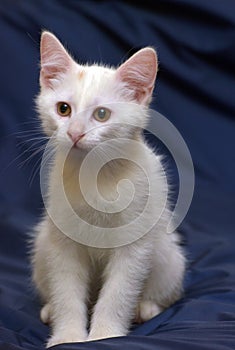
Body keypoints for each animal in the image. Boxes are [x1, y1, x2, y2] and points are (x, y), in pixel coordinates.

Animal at [31, 32, 185, 348]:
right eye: (63, 109)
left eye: (102, 114)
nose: (75, 133)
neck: (95, 176)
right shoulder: (63, 241)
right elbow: (66, 291)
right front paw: (67, 336)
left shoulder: (134, 245)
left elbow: (118, 293)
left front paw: (105, 335)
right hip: (42, 244)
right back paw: (50, 309)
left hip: (168, 255)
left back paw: (146, 307)